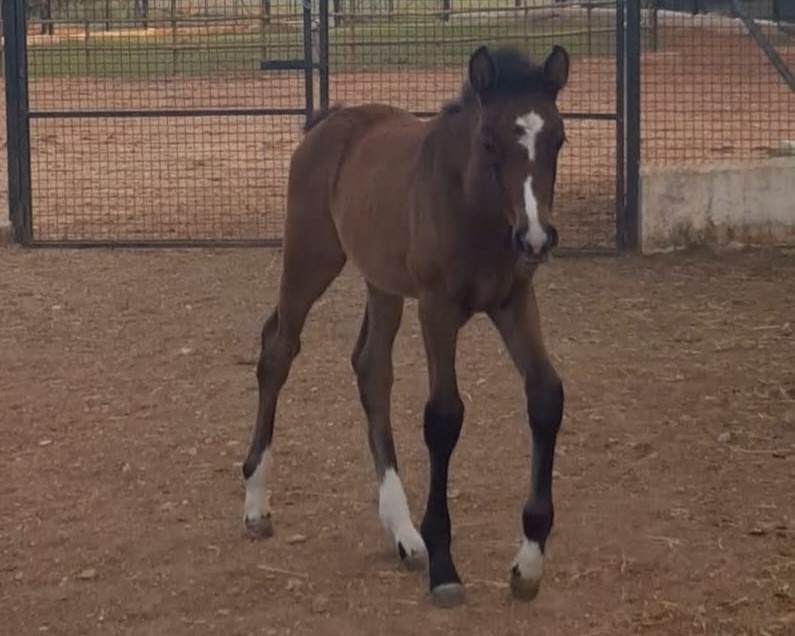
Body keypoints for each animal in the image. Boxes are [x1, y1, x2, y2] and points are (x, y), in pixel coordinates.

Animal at [241, 44, 570, 607]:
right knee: (278, 349)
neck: (473, 208)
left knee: (371, 368)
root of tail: (330, 122)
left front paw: (528, 563)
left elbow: (547, 396)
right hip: (310, 256)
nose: (535, 237)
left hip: (382, 282)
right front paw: (445, 566)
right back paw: (256, 504)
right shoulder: (436, 308)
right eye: (489, 140)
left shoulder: (514, 301)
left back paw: (402, 533)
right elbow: (443, 417)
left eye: (558, 138)